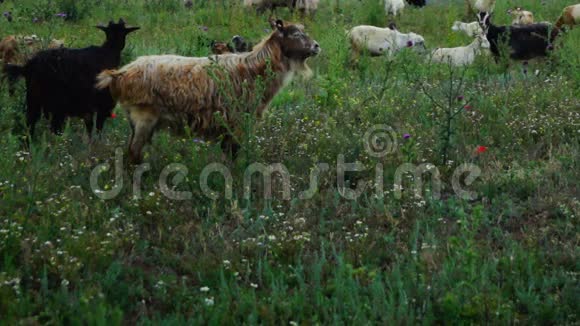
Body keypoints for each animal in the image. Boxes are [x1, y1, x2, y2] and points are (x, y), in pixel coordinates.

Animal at [2, 18, 139, 136]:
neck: (108, 50)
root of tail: (28, 66)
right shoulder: (101, 105)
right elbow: (96, 129)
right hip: (55, 102)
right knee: (52, 127)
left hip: (33, 98)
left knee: (30, 123)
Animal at [97, 18, 320, 163]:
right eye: (296, 34)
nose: (317, 46)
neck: (253, 69)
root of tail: (120, 74)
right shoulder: (237, 121)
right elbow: (233, 155)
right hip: (144, 116)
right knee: (133, 153)